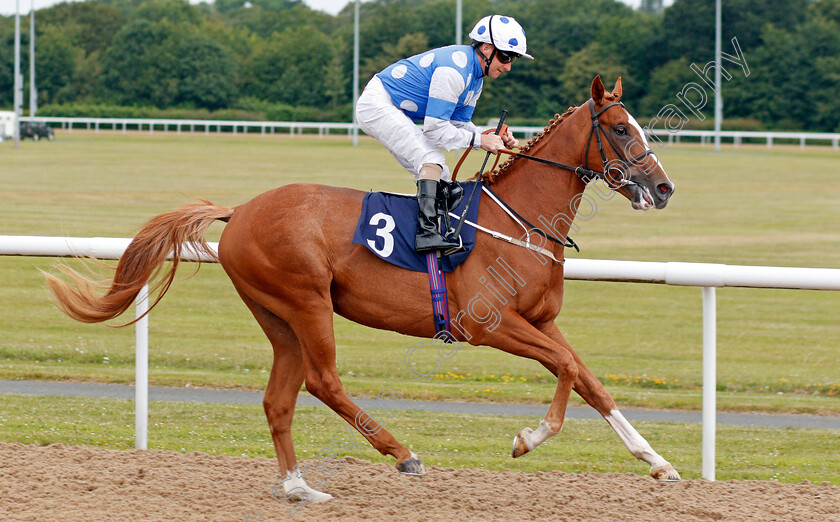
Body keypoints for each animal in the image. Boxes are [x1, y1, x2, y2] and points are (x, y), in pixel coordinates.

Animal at [44, 75, 676, 502]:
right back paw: (402, 454)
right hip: (307, 302)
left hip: (279, 317)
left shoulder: (540, 322)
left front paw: (658, 462)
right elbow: (568, 371)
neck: (519, 219)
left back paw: (298, 488)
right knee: (323, 382)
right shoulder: (489, 324)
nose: (665, 187)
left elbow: (591, 381)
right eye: (620, 128)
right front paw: (527, 437)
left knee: (279, 399)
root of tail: (240, 209)